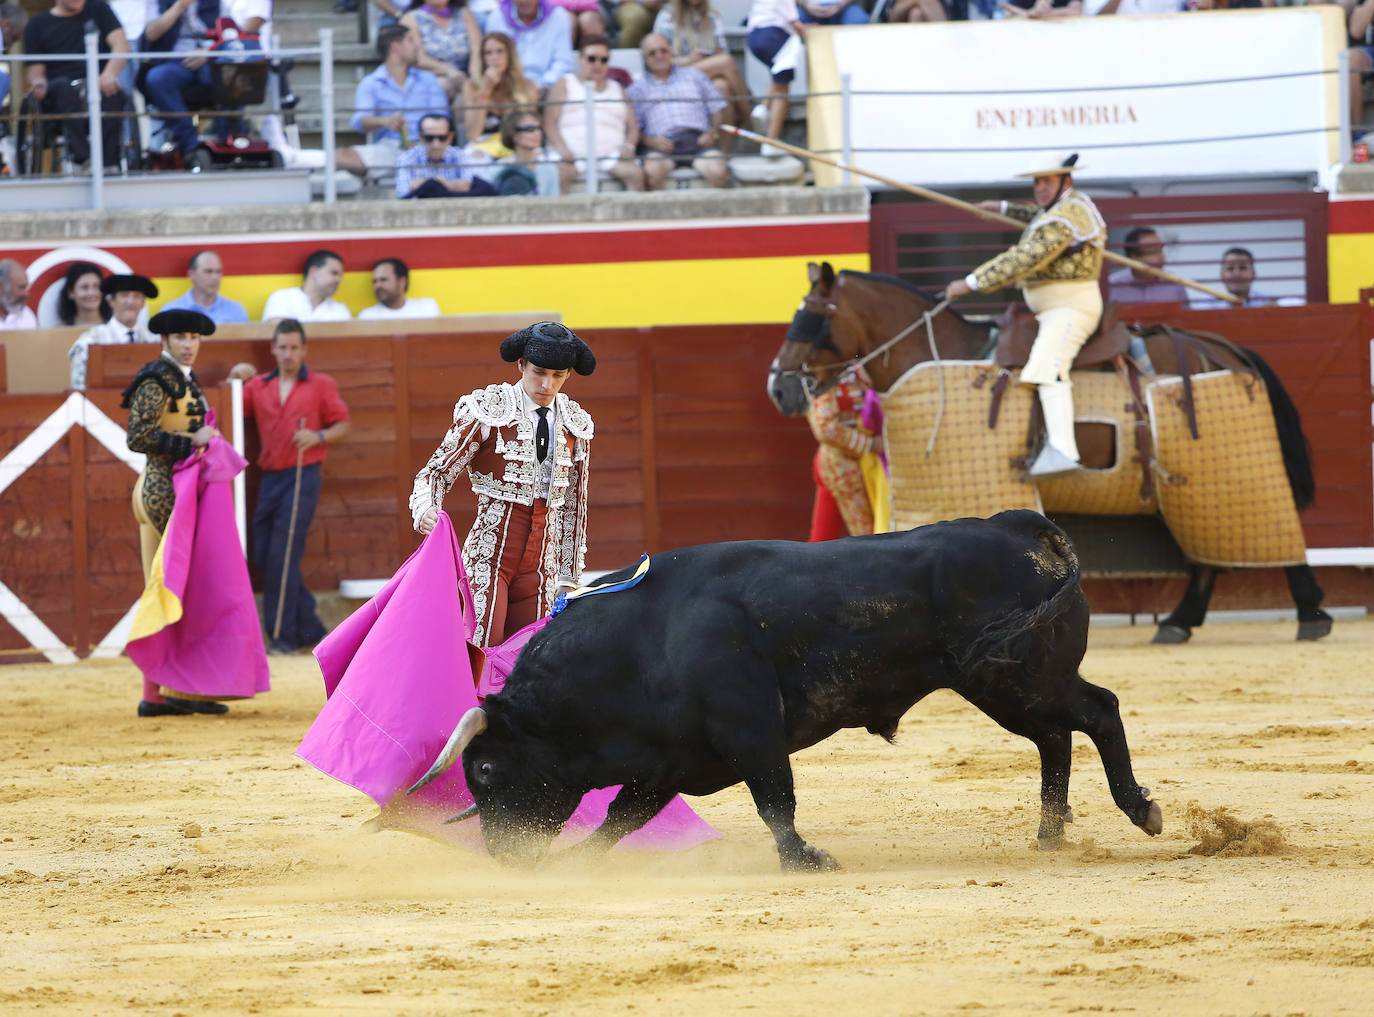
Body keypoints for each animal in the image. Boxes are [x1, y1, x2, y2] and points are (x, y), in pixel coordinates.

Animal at [409, 505, 1159, 868]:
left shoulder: (751, 731)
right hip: (1003, 686)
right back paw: (1049, 833)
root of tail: (1018, 526)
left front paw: (806, 859)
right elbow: (625, 817)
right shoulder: (668, 760)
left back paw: (1140, 810)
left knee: (1097, 711)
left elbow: (775, 799)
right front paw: (583, 863)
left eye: (485, 768)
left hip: (1021, 675)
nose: (507, 858)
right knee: (1055, 737)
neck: (643, 642)